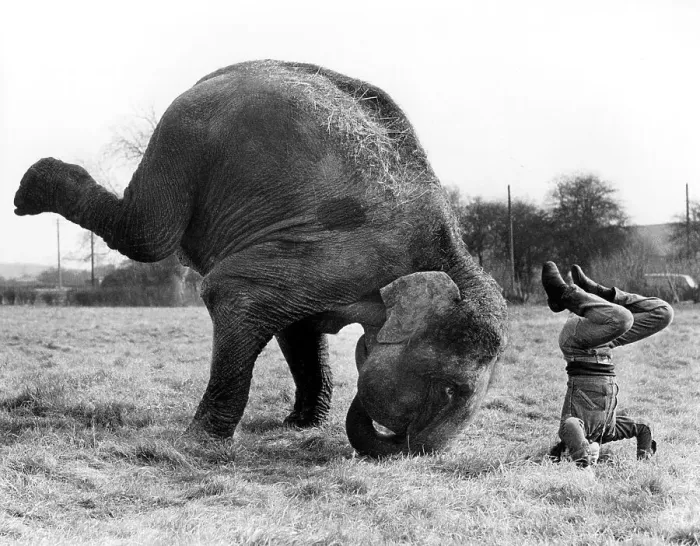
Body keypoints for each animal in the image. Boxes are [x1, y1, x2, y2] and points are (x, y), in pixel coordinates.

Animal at [14, 60, 508, 457]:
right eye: (450, 390)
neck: (453, 256)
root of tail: (218, 75)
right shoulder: (345, 257)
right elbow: (234, 295)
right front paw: (199, 443)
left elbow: (299, 327)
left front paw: (300, 425)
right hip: (185, 136)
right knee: (147, 234)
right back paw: (30, 188)